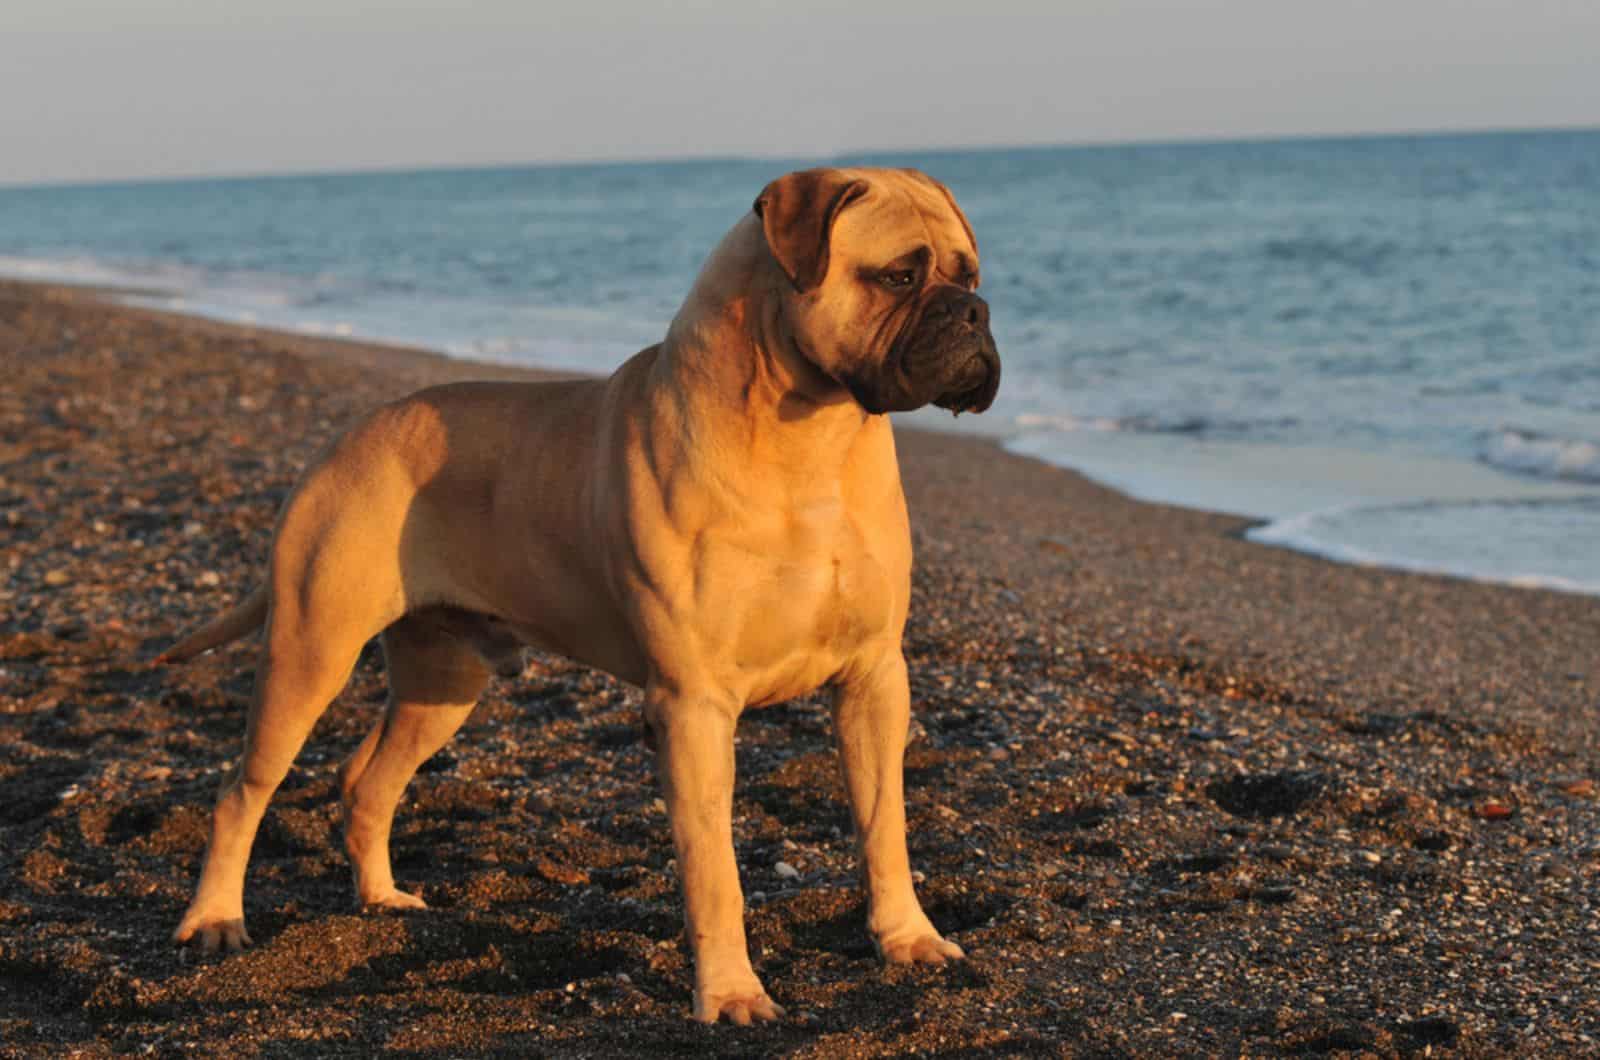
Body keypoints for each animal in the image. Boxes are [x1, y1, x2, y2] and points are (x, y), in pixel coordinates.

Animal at [152, 168, 998, 1031]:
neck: (809, 438)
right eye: (899, 277)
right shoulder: (693, 707)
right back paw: (214, 919)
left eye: (968, 276)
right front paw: (730, 992)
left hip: (444, 683)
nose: (977, 314)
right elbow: (715, 870)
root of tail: (342, 440)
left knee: (366, 782)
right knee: (241, 792)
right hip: (309, 653)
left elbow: (885, 827)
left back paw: (382, 898)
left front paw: (906, 937)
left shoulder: (874, 680)